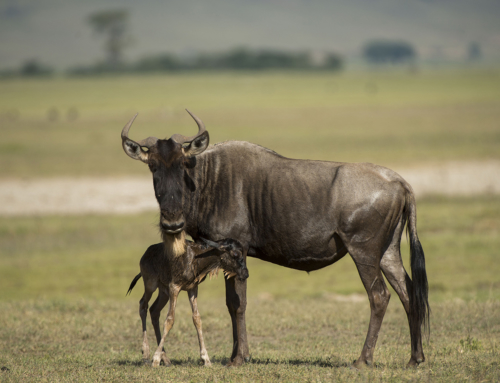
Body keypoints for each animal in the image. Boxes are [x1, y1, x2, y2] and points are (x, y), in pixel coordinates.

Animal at [127, 238, 248, 368]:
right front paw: (155, 359)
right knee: (143, 305)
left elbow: (197, 319)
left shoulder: (192, 289)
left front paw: (206, 359)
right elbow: (170, 320)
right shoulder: (174, 287)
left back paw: (165, 358)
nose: (245, 273)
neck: (196, 258)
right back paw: (146, 354)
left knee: (154, 310)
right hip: (150, 284)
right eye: (235, 254)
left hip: (163, 291)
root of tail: (145, 254)